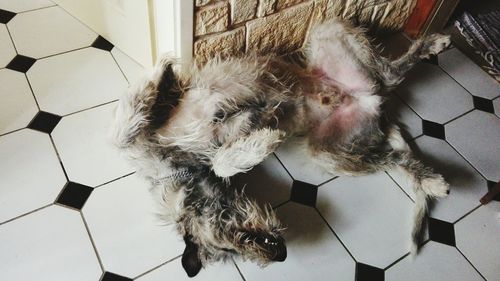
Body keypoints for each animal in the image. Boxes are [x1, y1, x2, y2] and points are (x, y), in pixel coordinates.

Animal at [111, 18, 452, 276]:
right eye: (230, 253)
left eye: (226, 235)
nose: (281, 255)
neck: (179, 168)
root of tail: (373, 102)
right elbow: (222, 157)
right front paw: (260, 141)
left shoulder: (149, 142)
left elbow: (123, 133)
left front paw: (160, 69)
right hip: (329, 151)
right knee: (393, 155)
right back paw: (432, 181)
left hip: (328, 29)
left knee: (388, 73)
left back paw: (433, 45)